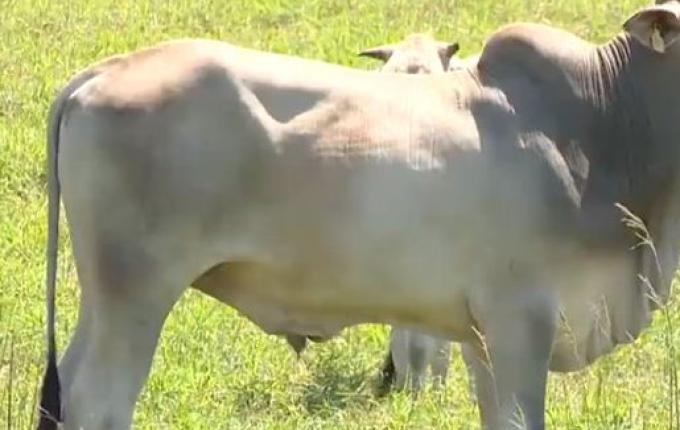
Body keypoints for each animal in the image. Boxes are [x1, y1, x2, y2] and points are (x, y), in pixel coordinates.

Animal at [36, 1, 680, 429]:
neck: (601, 119)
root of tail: (105, 71)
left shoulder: (483, 336)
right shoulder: (521, 319)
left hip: (107, 300)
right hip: (135, 293)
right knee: (98, 400)